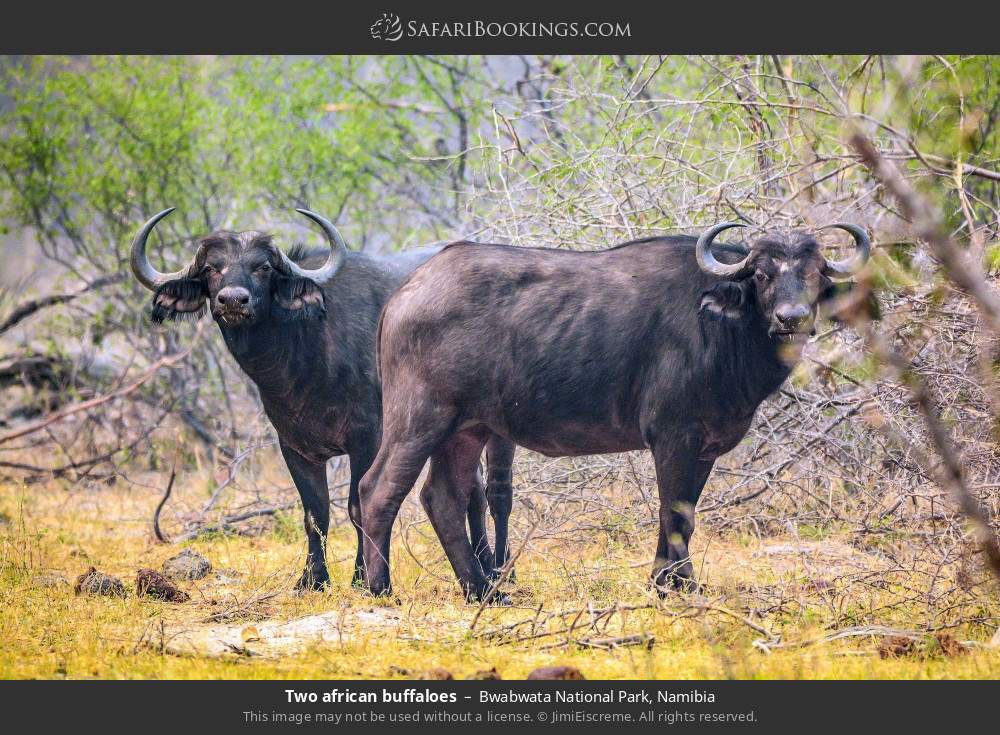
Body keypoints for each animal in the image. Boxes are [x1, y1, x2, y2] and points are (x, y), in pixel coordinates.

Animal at [129, 208, 515, 590]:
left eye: (263, 267)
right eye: (212, 267)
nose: (233, 300)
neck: (305, 353)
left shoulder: (368, 440)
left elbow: (357, 506)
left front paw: (361, 577)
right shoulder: (294, 447)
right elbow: (315, 513)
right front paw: (313, 578)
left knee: (495, 493)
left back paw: (501, 569)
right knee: (471, 491)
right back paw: (483, 564)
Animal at [358, 222, 870, 600]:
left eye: (815, 274)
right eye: (762, 275)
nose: (791, 317)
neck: (721, 327)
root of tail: (406, 292)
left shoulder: (704, 446)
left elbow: (685, 510)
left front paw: (672, 581)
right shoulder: (673, 436)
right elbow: (674, 510)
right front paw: (675, 584)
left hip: (467, 430)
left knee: (442, 498)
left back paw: (483, 590)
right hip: (419, 421)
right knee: (377, 489)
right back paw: (381, 587)